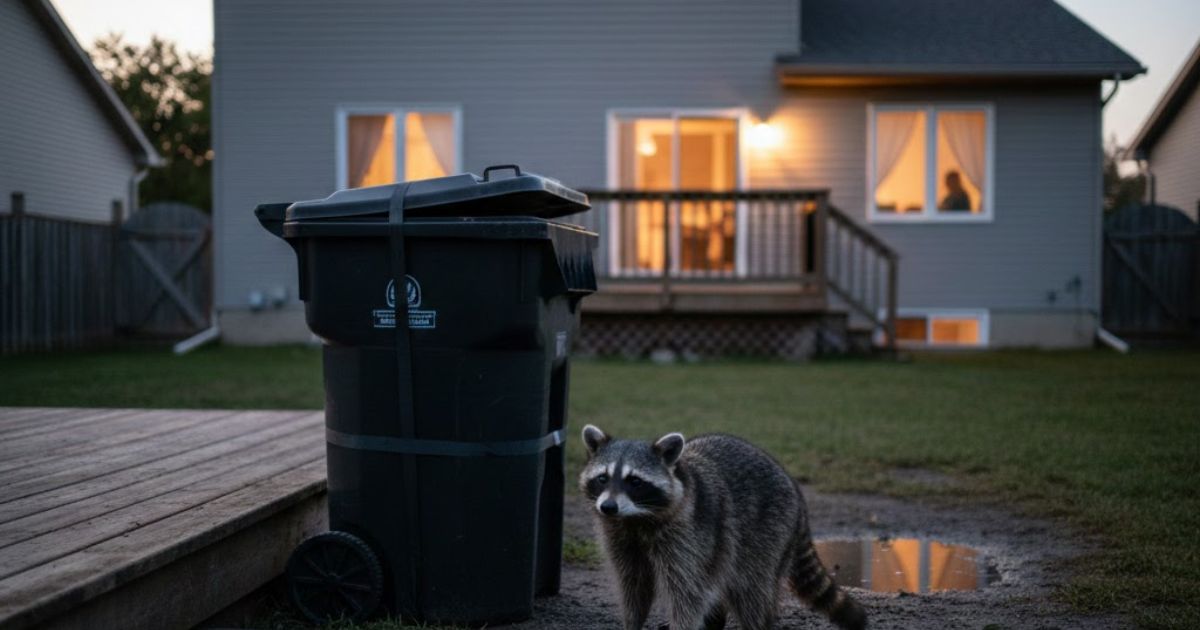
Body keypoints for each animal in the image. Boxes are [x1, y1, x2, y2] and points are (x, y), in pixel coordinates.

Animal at [579, 425, 866, 630]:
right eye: (602, 478)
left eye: (635, 481)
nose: (608, 507)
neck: (635, 519)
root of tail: (794, 487)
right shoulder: (621, 538)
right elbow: (634, 586)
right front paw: (633, 622)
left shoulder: (688, 535)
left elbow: (687, 592)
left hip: (768, 532)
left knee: (752, 590)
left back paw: (756, 623)